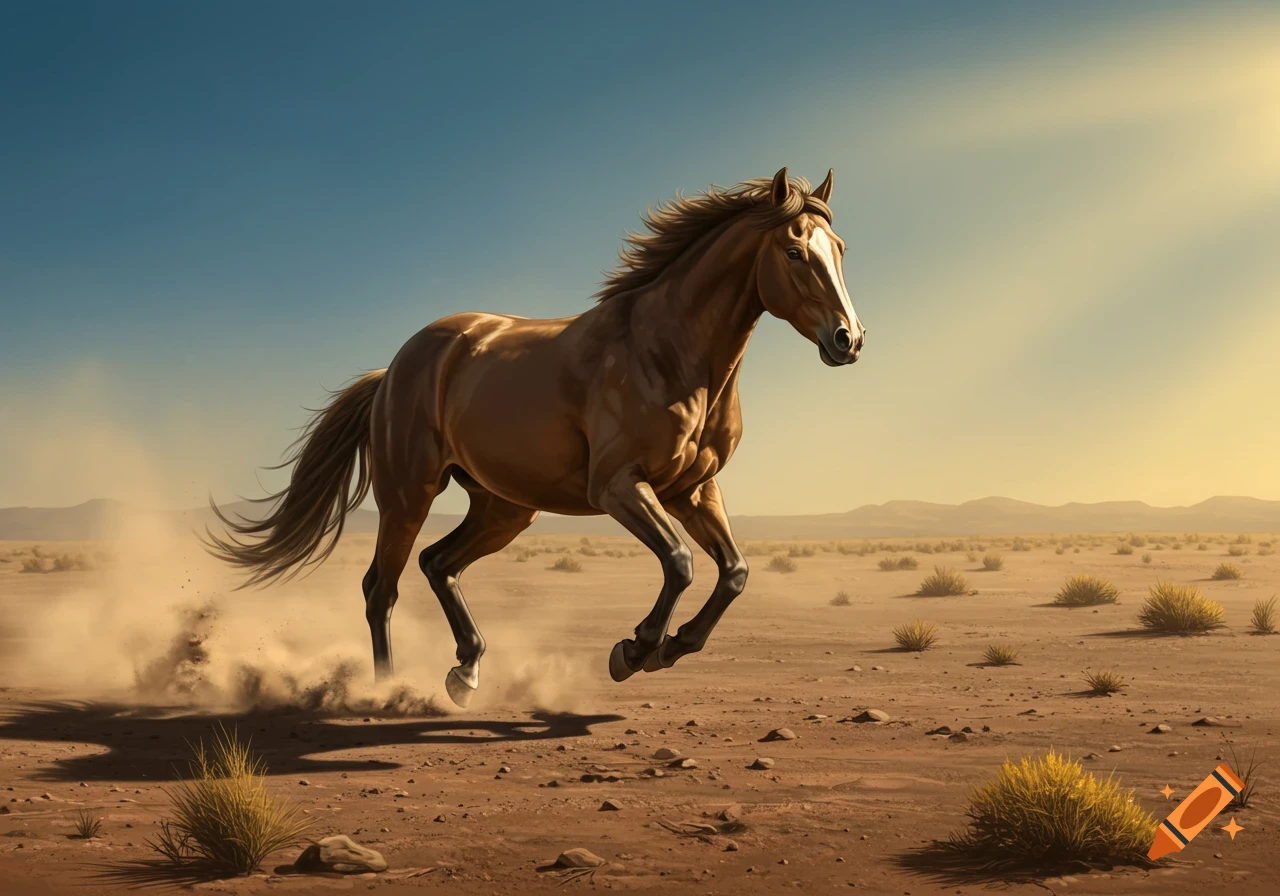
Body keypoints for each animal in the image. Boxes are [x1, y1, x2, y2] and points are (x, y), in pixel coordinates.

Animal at [203, 167, 865, 707]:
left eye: (838, 249)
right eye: (793, 251)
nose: (848, 340)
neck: (670, 351)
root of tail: (393, 369)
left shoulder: (693, 490)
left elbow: (734, 572)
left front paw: (673, 647)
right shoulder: (619, 487)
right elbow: (679, 562)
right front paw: (634, 651)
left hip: (504, 508)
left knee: (437, 563)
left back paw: (465, 672)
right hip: (409, 495)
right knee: (380, 588)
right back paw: (386, 691)